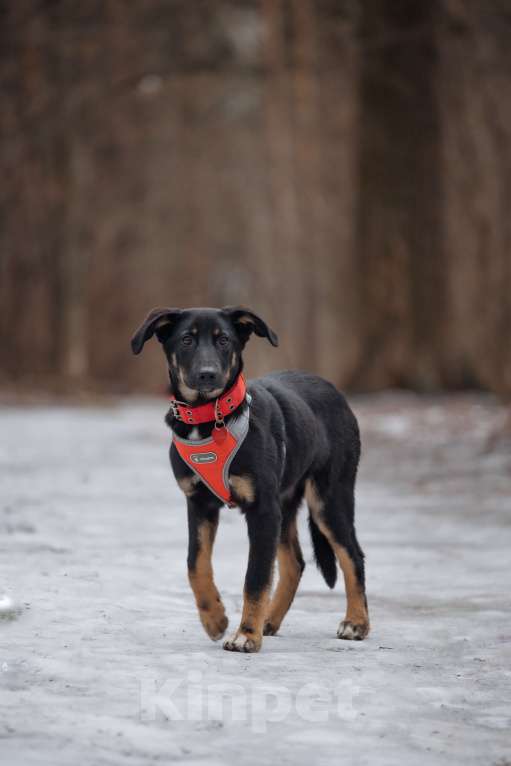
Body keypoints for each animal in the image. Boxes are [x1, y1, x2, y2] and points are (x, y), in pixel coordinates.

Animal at [132, 306, 370, 656]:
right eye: (187, 339)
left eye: (224, 340)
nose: (207, 374)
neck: (210, 417)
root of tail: (333, 390)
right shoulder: (199, 503)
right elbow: (195, 563)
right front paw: (215, 618)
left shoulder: (261, 509)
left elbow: (255, 576)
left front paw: (246, 635)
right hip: (284, 504)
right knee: (295, 562)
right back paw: (269, 620)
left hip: (329, 497)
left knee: (352, 554)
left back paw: (356, 622)